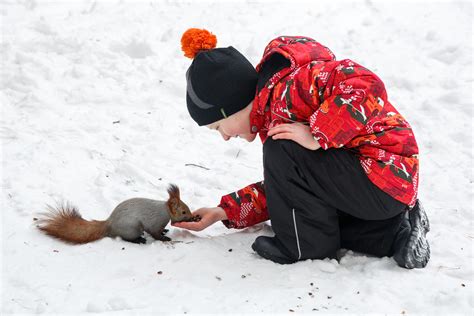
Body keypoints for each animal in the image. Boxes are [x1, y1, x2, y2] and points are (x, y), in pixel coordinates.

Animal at [36, 185, 199, 244]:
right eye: (183, 211)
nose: (192, 217)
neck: (165, 211)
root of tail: (109, 225)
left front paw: (165, 231)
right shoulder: (154, 221)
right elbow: (154, 232)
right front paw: (164, 238)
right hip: (132, 228)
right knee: (125, 238)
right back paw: (139, 240)